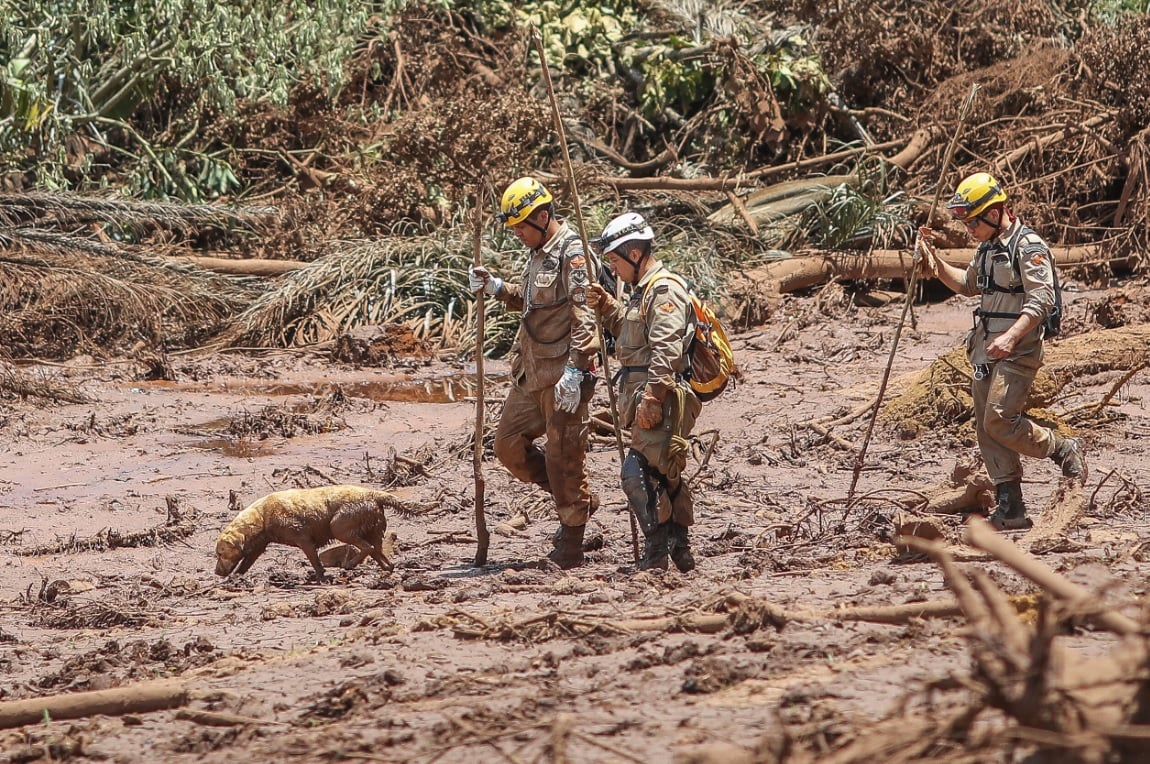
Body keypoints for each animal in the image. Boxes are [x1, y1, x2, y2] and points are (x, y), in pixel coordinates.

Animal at [217, 485, 407, 582]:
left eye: (220, 553)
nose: (216, 572)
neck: (263, 515)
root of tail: (373, 494)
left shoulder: (304, 539)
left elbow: (315, 561)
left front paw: (320, 577)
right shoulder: (258, 546)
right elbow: (246, 562)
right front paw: (235, 577)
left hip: (339, 526)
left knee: (367, 548)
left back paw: (349, 564)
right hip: (373, 529)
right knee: (377, 550)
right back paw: (387, 567)